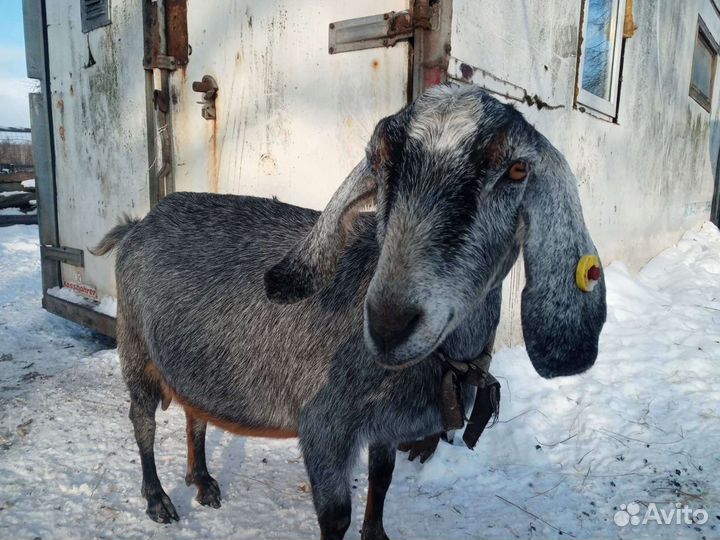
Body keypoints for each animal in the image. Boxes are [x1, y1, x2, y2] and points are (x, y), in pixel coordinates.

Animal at [93, 84, 606, 540]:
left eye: (517, 170)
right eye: (379, 162)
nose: (389, 323)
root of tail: (136, 225)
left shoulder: (383, 429)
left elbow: (382, 479)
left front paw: (377, 533)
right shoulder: (325, 426)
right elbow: (336, 515)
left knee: (194, 414)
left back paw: (202, 482)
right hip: (135, 347)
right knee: (142, 421)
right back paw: (158, 500)